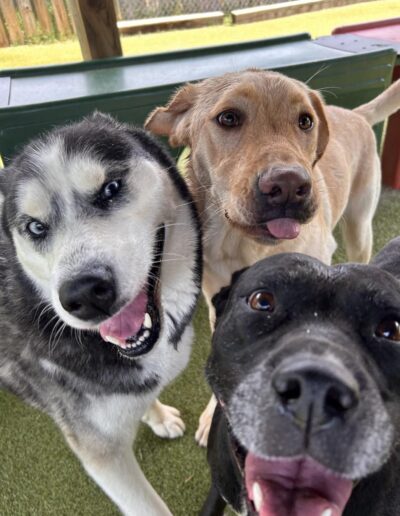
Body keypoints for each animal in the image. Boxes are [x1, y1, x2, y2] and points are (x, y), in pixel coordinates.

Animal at [146, 70, 400, 446]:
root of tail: (353, 114)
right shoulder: (218, 298)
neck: (246, 246)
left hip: (359, 228)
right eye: (228, 118)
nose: (290, 186)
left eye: (305, 121)